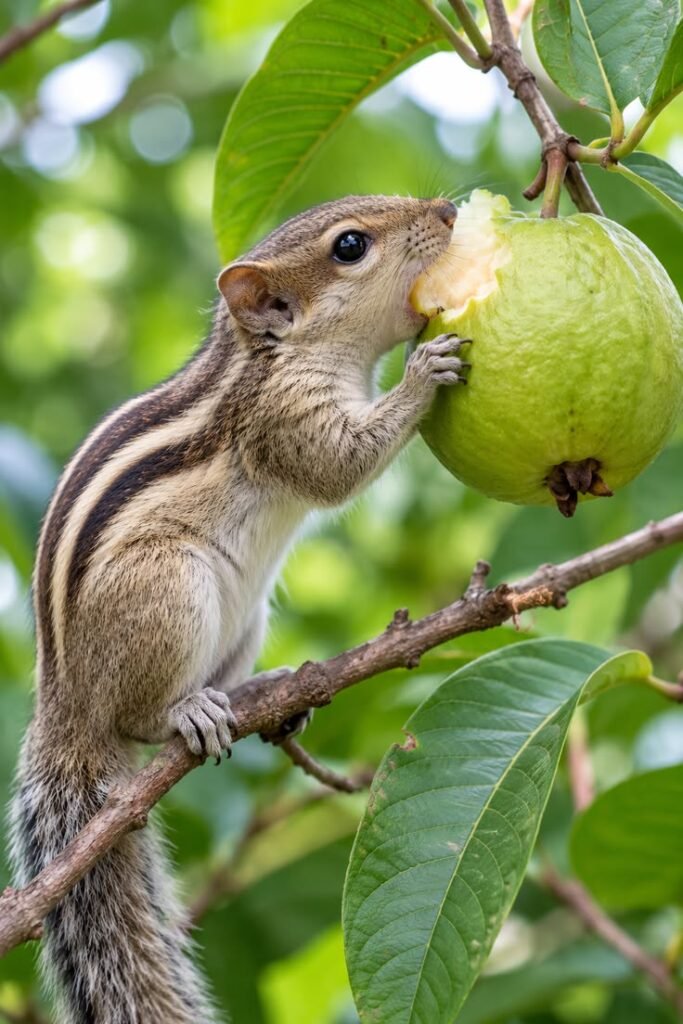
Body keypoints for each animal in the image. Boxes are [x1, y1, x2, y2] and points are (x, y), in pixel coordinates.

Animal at [10, 195, 468, 1023]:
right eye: (348, 246)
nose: (449, 208)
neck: (269, 357)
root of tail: (65, 710)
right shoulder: (283, 418)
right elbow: (338, 468)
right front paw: (425, 372)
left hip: (245, 618)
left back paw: (266, 691)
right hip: (170, 589)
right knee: (136, 716)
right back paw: (186, 712)